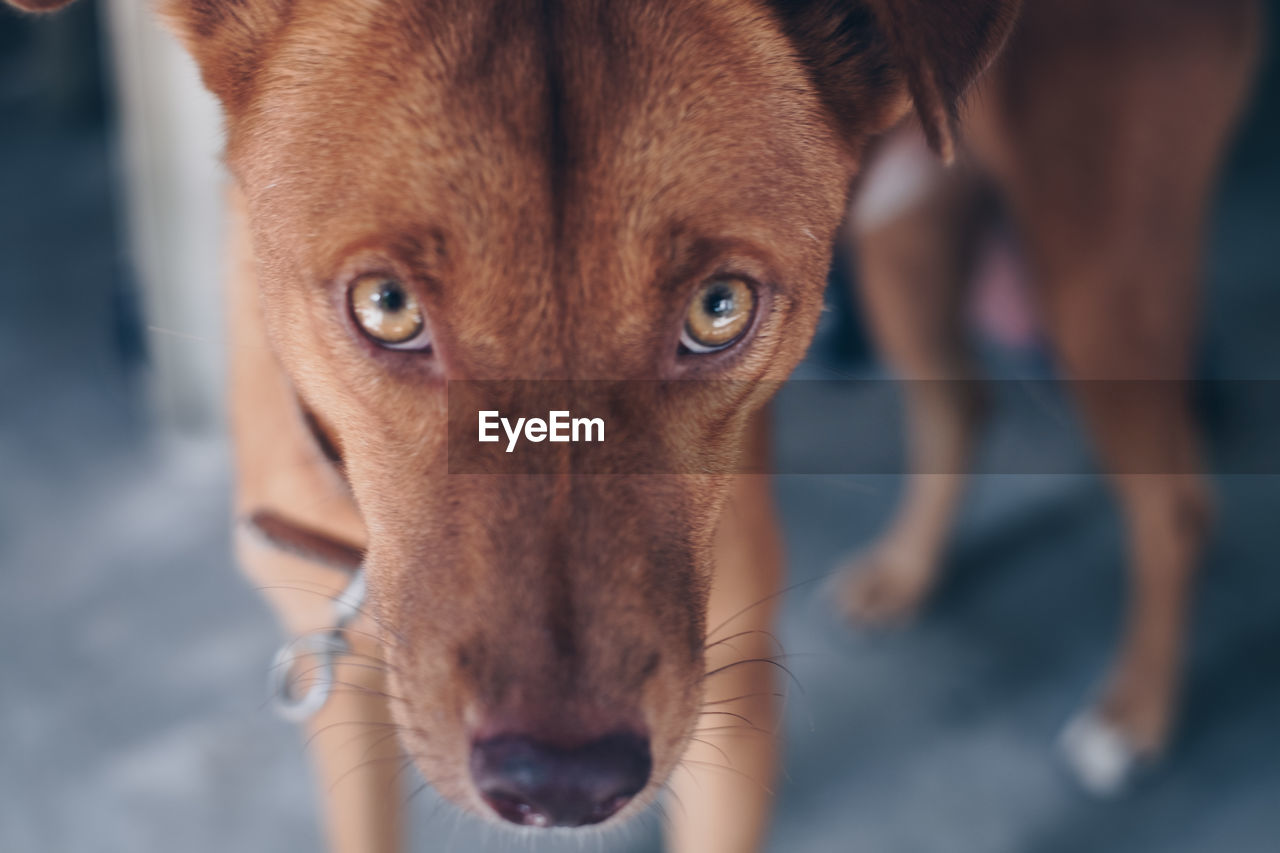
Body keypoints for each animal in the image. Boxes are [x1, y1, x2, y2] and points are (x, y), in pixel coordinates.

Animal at [10, 0, 1264, 845]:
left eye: (718, 308)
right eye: (386, 305)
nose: (561, 784)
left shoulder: (728, 722)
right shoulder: (348, 705)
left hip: (1096, 266)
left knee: (1174, 504)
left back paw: (1130, 713)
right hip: (909, 227)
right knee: (960, 399)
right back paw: (905, 574)